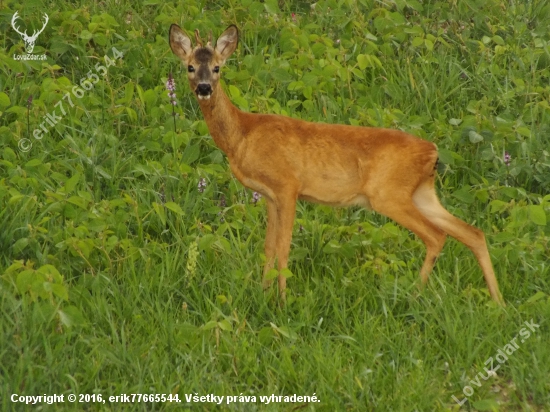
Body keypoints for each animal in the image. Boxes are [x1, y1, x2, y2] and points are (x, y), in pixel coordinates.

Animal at [170, 24, 506, 304]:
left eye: (217, 67)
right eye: (190, 67)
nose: (204, 88)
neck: (243, 134)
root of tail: (433, 152)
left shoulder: (288, 186)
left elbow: (283, 247)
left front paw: (281, 300)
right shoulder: (268, 195)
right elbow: (268, 248)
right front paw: (263, 293)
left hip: (389, 194)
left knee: (437, 236)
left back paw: (414, 294)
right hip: (422, 193)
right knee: (473, 233)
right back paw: (498, 303)